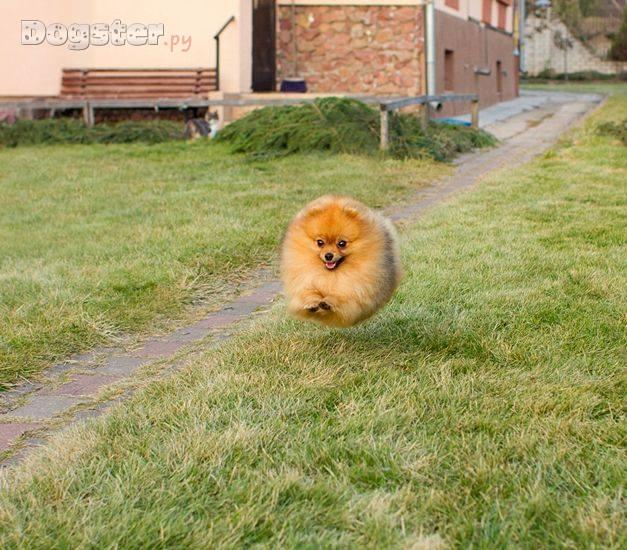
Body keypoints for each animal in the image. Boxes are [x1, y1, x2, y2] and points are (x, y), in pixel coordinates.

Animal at [281, 195, 402, 327]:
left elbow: (340, 296)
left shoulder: (354, 292)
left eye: (342, 243)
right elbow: (308, 293)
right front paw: (312, 302)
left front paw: (328, 302)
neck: (330, 274)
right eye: (320, 242)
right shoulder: (305, 281)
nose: (328, 255)